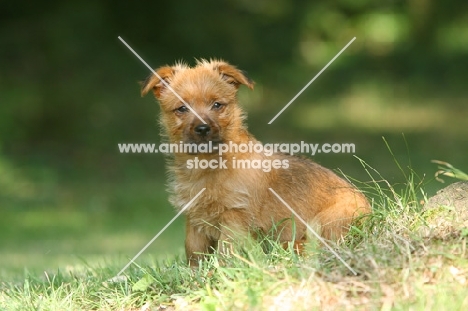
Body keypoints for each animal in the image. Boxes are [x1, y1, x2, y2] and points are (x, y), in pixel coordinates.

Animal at [141, 59, 372, 266]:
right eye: (181, 109)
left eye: (217, 105)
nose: (203, 128)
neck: (208, 165)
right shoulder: (195, 219)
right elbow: (194, 251)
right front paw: (195, 272)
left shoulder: (234, 216)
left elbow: (226, 250)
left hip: (328, 220)